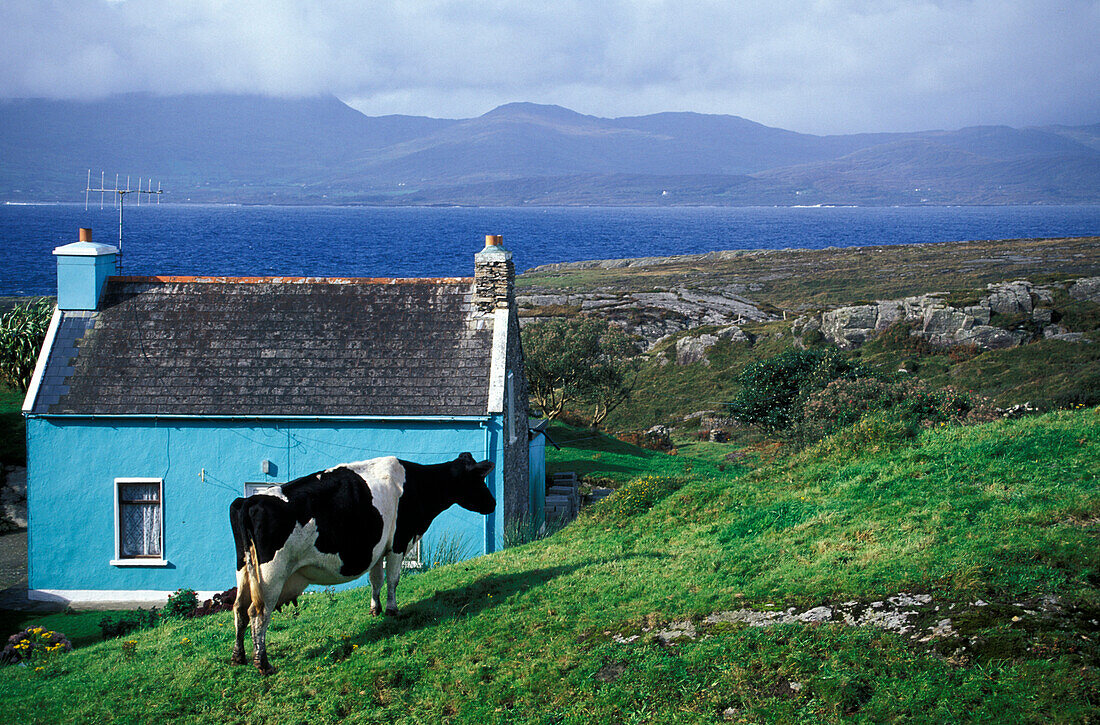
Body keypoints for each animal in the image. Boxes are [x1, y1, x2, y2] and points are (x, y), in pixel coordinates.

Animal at [227, 453, 495, 673]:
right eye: (479, 479)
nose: (492, 504)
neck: (416, 484)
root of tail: (248, 501)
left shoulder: (377, 548)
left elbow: (376, 580)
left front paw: (375, 609)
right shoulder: (398, 542)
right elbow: (393, 580)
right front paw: (392, 610)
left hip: (244, 570)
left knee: (239, 608)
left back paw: (238, 657)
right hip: (271, 574)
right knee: (258, 613)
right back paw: (263, 663)